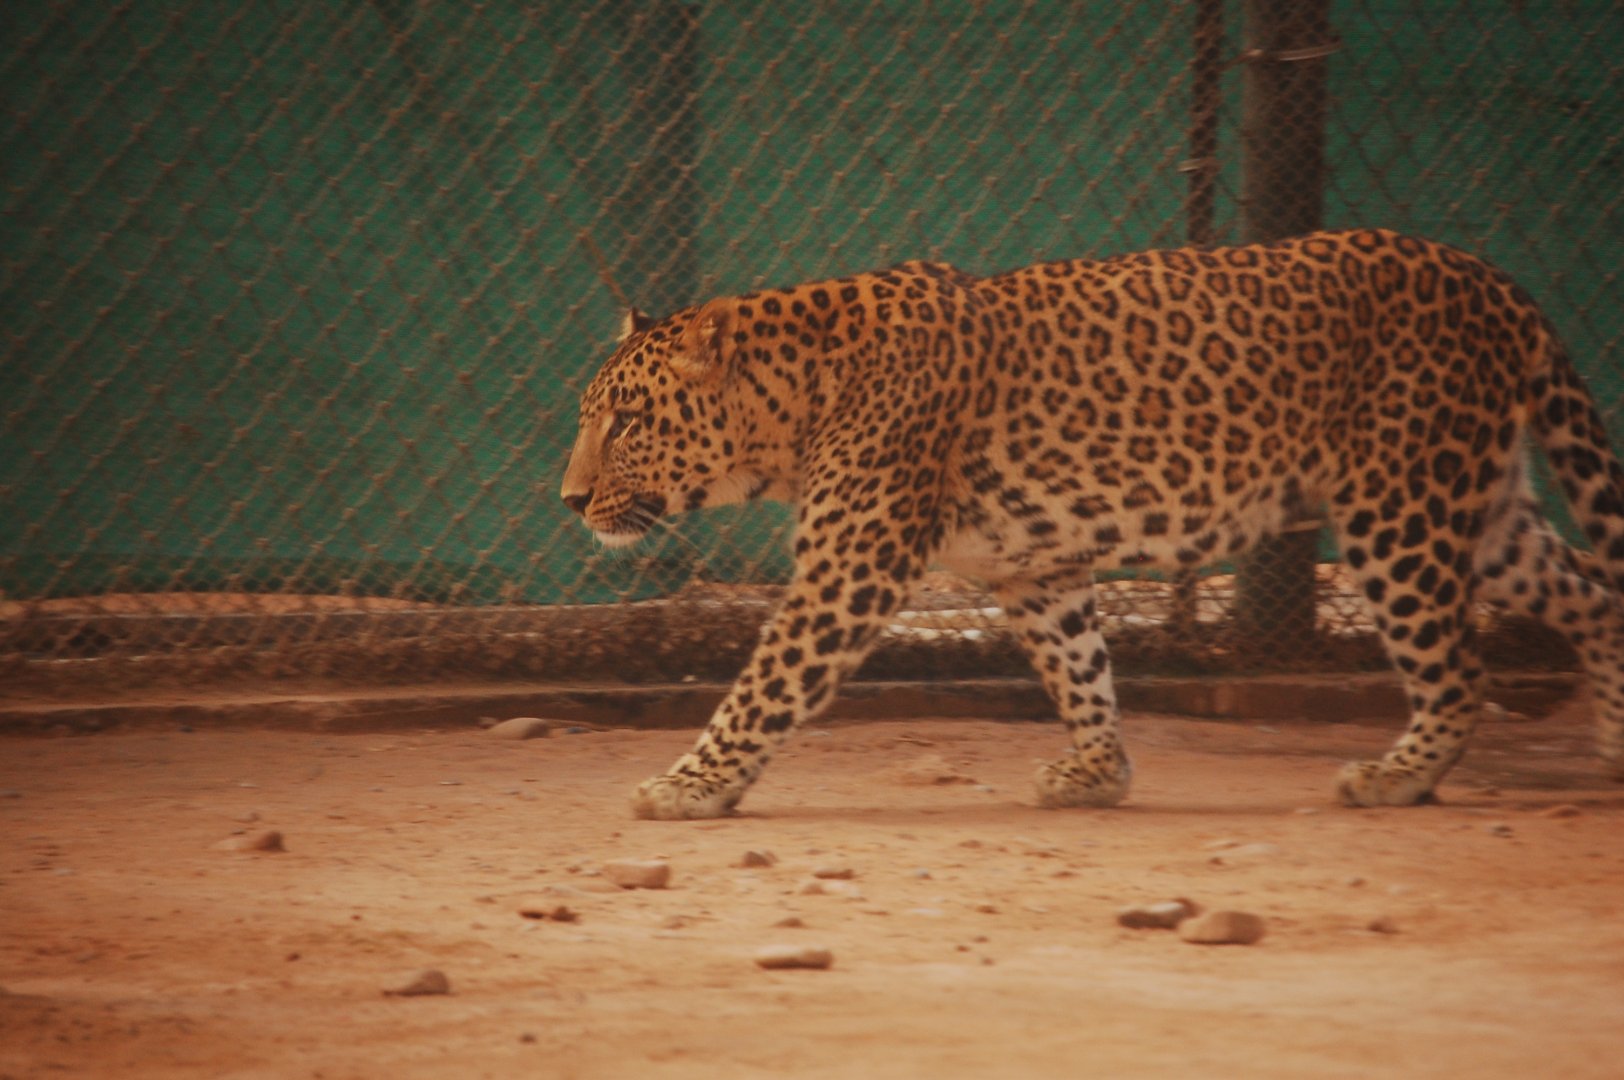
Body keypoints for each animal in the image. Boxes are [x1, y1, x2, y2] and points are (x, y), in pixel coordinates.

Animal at [561, 228, 1624, 820]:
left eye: (629, 421)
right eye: (591, 415)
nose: (568, 500)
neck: (791, 407)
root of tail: (1496, 280)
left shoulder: (848, 572)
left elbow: (763, 687)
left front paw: (690, 786)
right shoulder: (1036, 569)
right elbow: (1081, 671)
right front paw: (1099, 774)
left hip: (1399, 507)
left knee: (1462, 670)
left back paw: (1397, 778)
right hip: (1481, 511)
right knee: (1595, 596)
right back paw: (1613, 746)